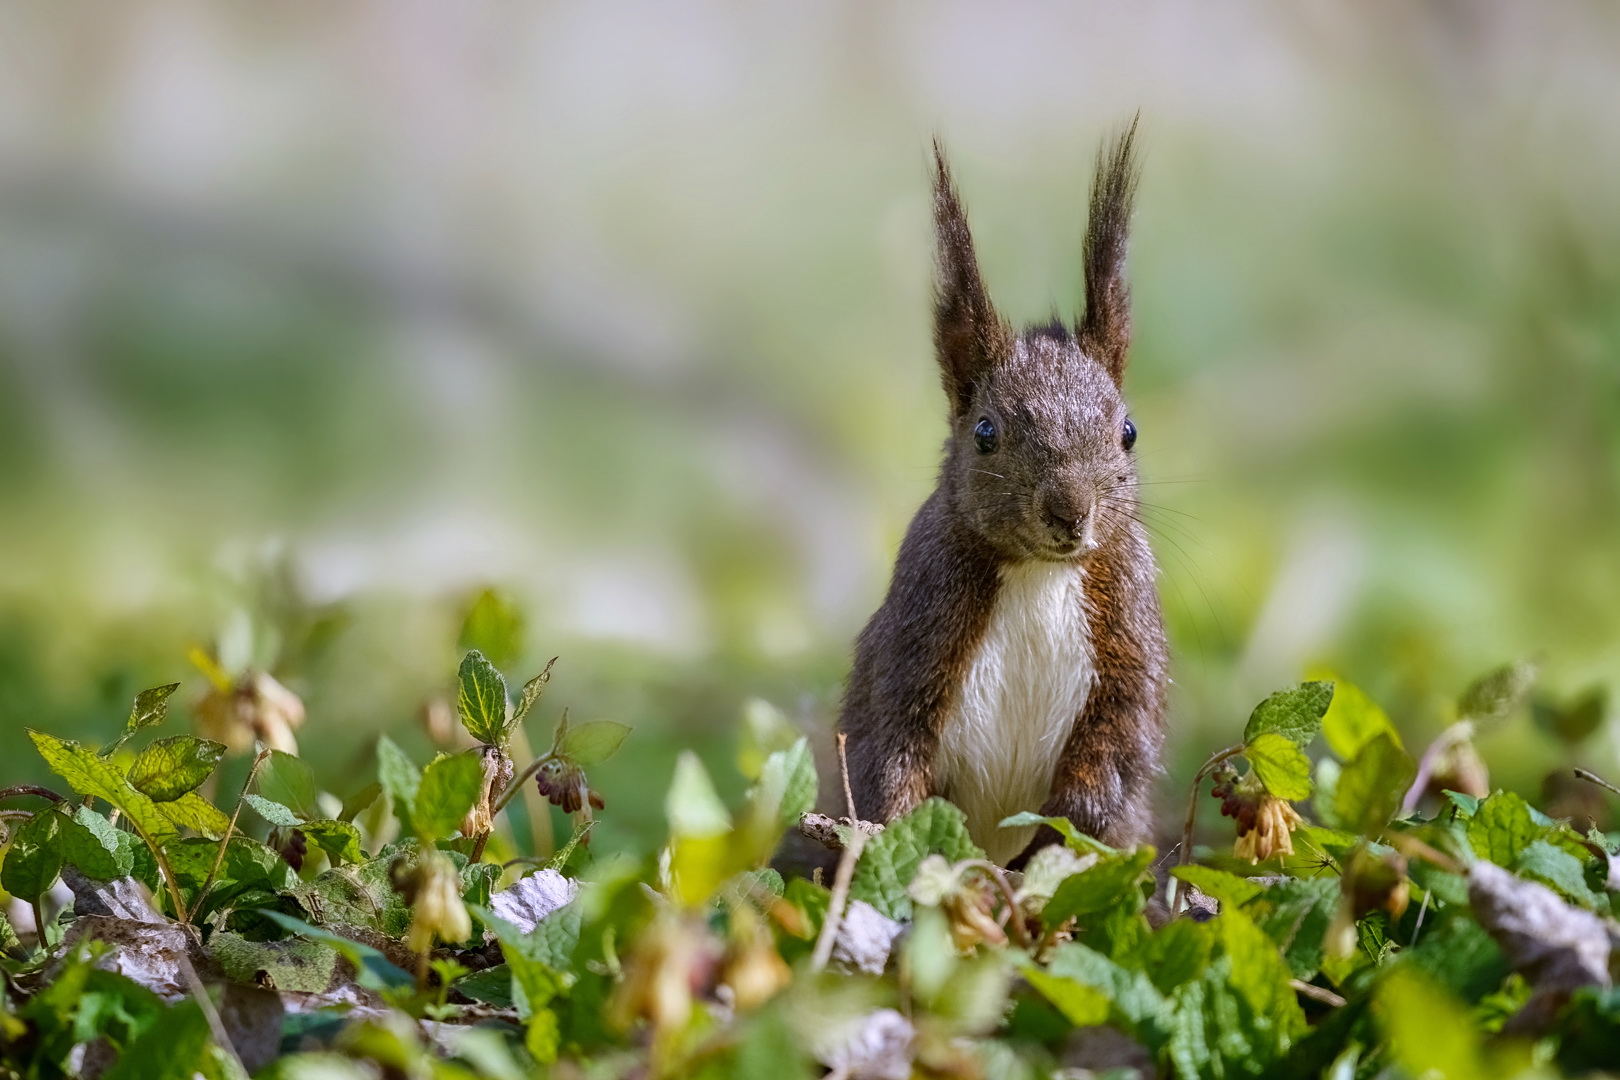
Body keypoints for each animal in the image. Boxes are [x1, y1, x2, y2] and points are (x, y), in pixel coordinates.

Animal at [842, 124, 1172, 867]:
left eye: (1129, 431)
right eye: (986, 432)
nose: (1069, 510)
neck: (1038, 572)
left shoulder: (1129, 638)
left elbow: (1111, 757)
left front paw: (1046, 852)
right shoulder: (916, 631)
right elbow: (892, 751)